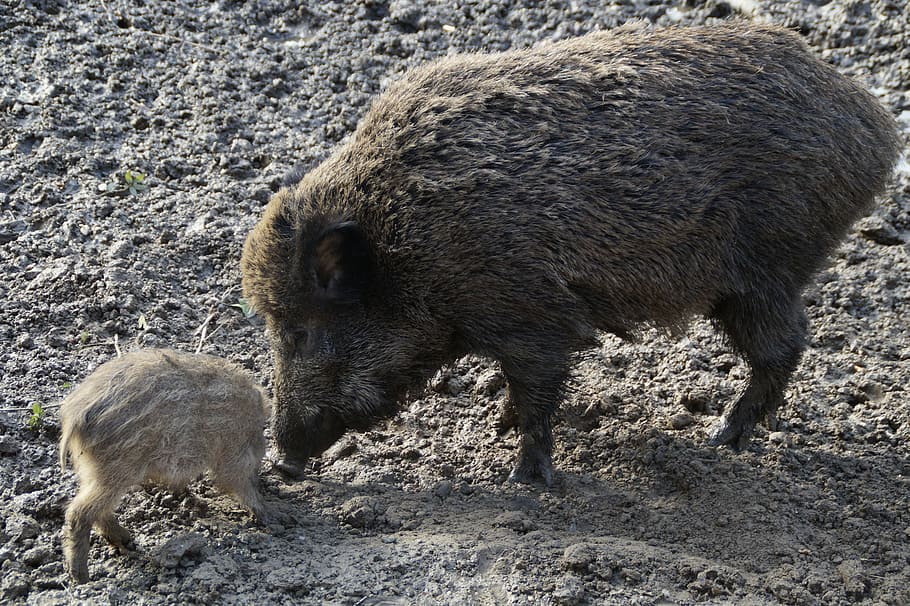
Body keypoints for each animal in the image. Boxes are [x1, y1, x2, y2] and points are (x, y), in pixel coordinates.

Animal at [59, 349, 270, 583]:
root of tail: (75, 416)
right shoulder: (232, 452)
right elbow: (239, 484)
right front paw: (272, 516)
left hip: (94, 470)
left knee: (96, 509)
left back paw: (126, 540)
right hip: (116, 468)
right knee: (79, 511)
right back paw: (81, 576)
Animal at [241, 22, 901, 485]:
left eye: (299, 332)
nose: (282, 464)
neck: (404, 246)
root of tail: (876, 125)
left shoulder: (527, 311)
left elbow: (539, 387)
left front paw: (524, 478)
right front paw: (500, 426)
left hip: (764, 269)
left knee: (783, 346)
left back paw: (723, 437)